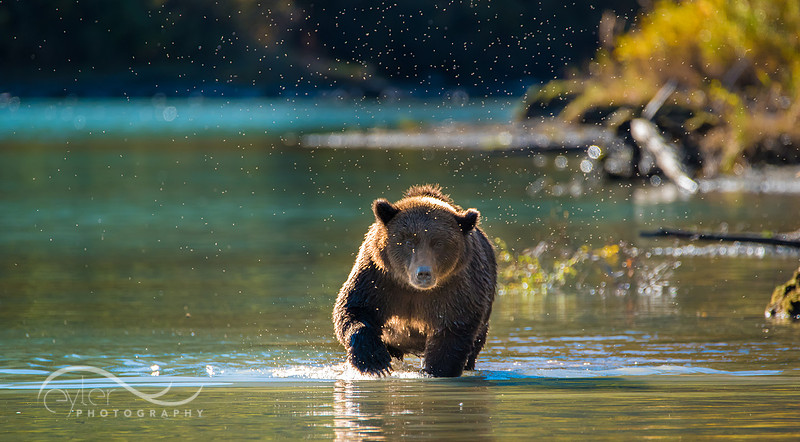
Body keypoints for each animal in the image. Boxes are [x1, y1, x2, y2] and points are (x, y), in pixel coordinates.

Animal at [333, 184, 497, 377]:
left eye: (438, 243)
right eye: (408, 241)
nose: (423, 273)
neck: (412, 289)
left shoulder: (456, 288)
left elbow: (453, 329)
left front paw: (436, 370)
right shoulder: (378, 278)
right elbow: (354, 309)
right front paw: (375, 362)